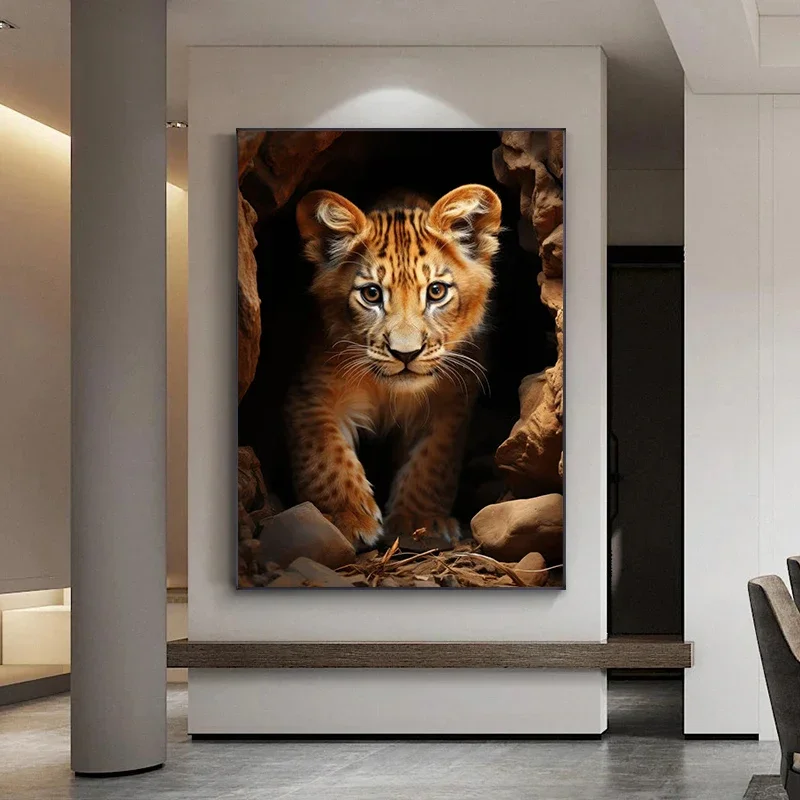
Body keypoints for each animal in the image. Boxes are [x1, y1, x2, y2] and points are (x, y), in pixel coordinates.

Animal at [285, 184, 502, 546]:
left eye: (436, 291)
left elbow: (431, 464)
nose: (406, 353)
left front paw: (419, 522)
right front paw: (346, 517)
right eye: (372, 294)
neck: (388, 390)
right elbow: (325, 456)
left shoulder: (450, 402)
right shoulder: (311, 394)